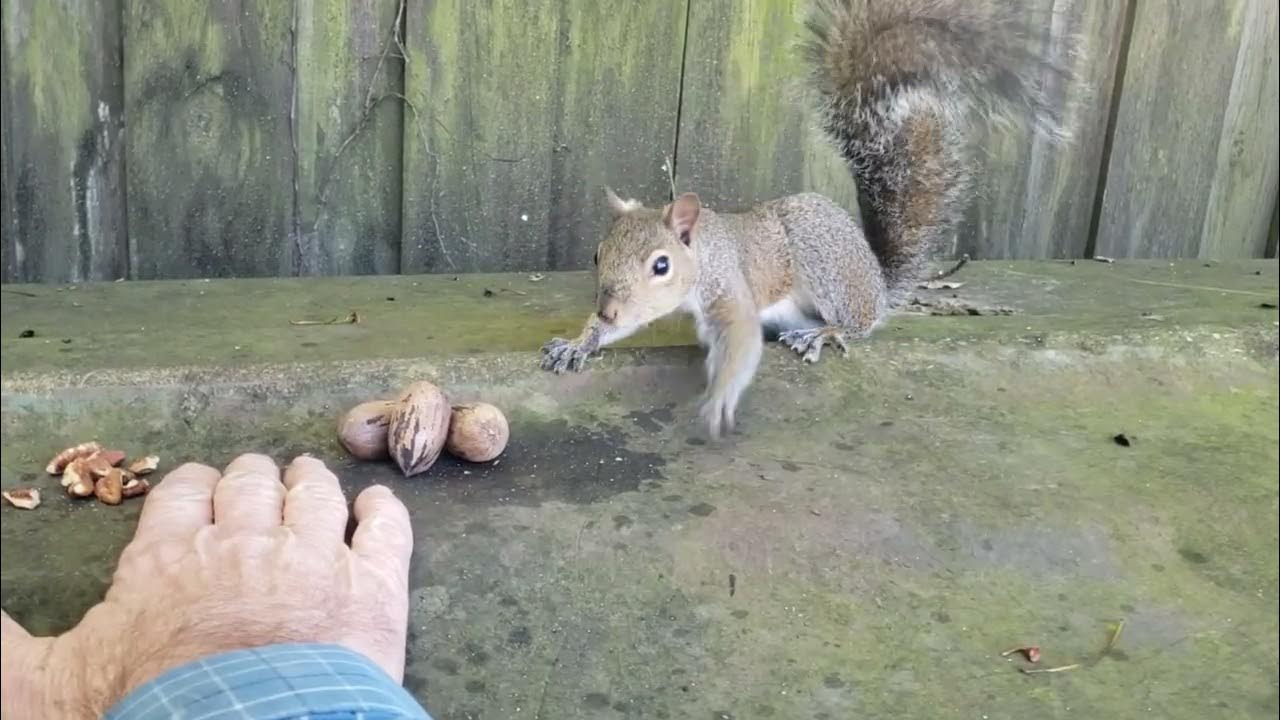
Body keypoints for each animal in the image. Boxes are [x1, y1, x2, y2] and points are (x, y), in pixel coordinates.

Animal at [541, 0, 1075, 439]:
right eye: (598, 255)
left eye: (661, 265)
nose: (606, 309)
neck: (705, 250)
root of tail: (877, 282)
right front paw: (579, 342)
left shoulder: (730, 287)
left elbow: (740, 343)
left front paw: (720, 399)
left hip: (824, 268)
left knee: (859, 324)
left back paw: (825, 333)